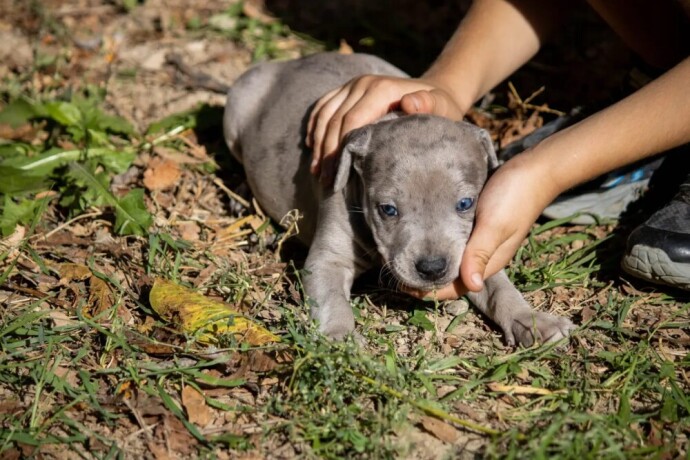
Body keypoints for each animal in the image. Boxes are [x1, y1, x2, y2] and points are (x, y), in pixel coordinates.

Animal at [223, 53, 572, 344]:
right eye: (387, 210)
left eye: (465, 204)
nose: (432, 268)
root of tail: (290, 63)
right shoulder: (326, 260)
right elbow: (332, 301)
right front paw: (341, 340)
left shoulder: (473, 253)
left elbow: (500, 288)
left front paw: (532, 321)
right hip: (238, 108)